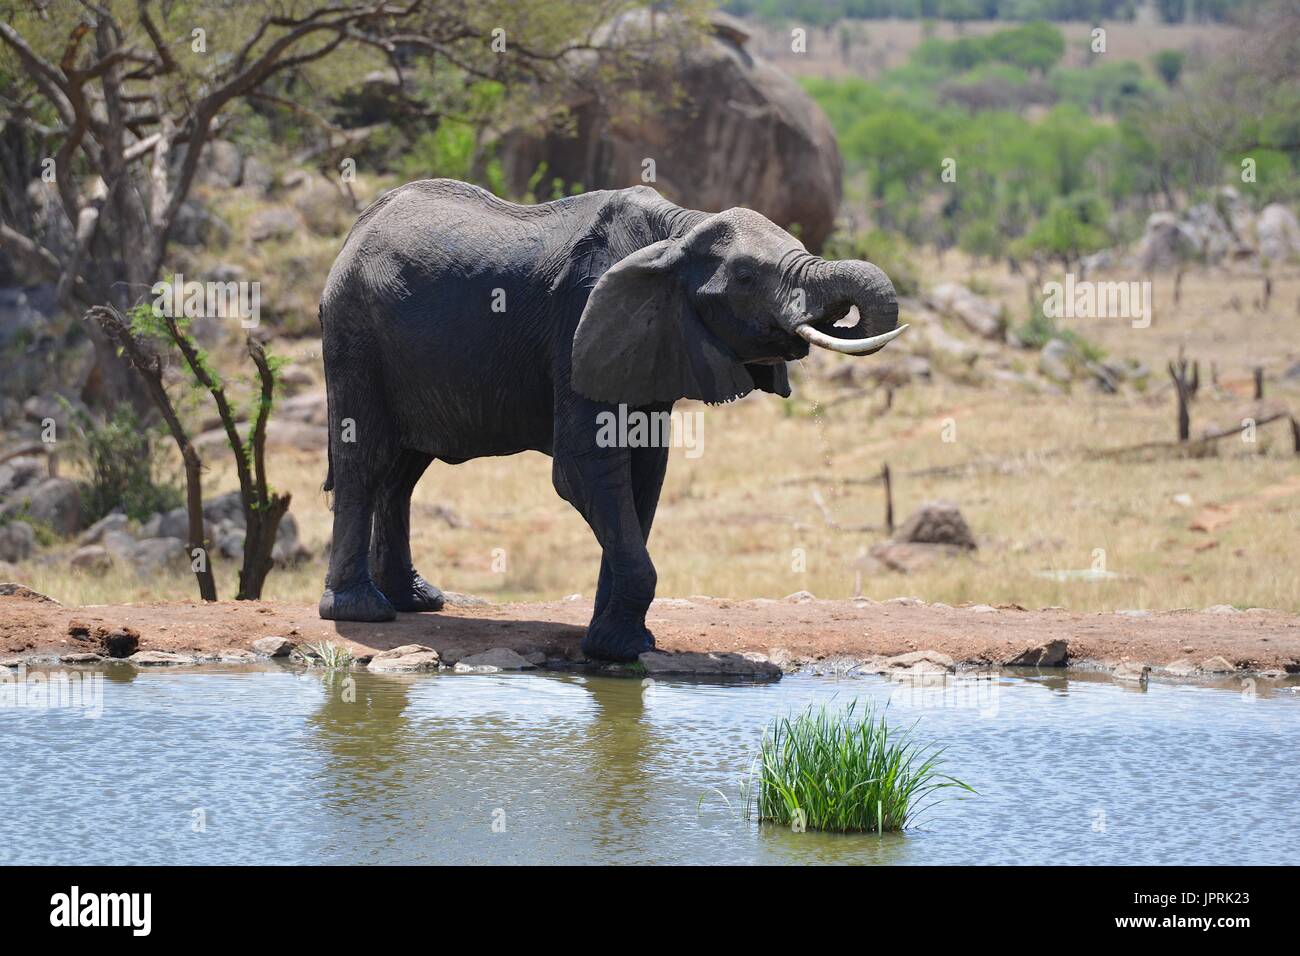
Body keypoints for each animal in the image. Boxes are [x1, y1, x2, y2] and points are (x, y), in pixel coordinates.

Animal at [317, 178, 904, 658]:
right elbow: (585, 468)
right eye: (744, 276)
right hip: (354, 330)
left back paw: (417, 601)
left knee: (403, 473)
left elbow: (645, 474)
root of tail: (354, 229)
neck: (678, 230)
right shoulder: (578, 318)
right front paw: (618, 652)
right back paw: (363, 612)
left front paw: (619, 642)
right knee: (366, 460)